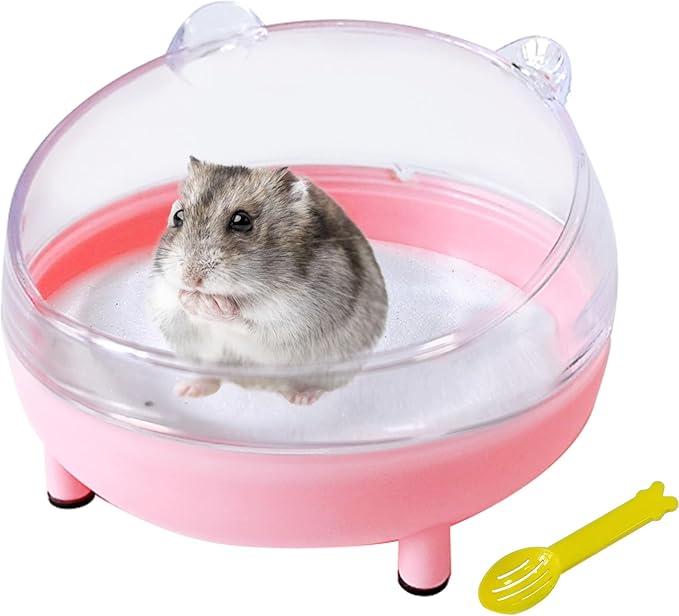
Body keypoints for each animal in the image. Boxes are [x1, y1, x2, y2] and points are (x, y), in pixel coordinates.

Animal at [147, 157, 388, 404]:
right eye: (178, 216)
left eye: (241, 221)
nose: (191, 279)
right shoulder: (165, 304)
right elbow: (179, 307)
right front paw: (189, 298)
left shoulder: (291, 318)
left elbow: (243, 320)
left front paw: (210, 303)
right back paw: (187, 390)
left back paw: (302, 397)